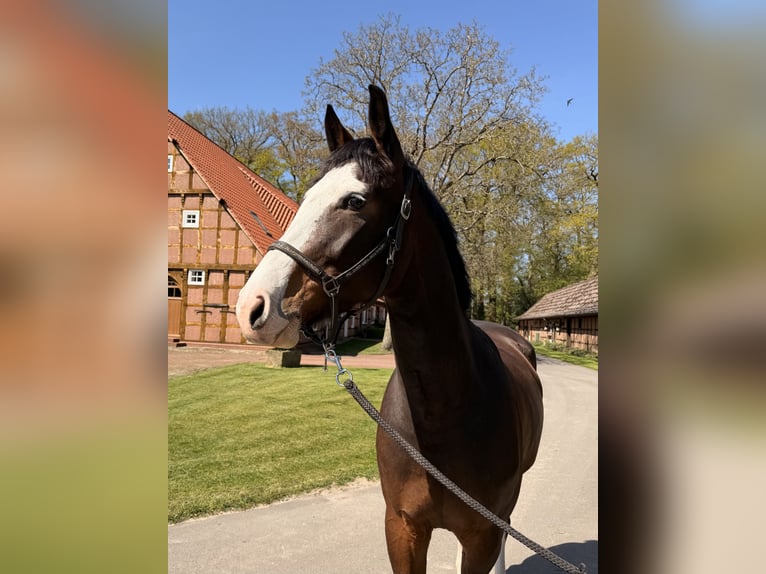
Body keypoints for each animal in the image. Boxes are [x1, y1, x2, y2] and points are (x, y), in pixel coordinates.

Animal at [236, 85, 544, 574]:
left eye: (355, 201)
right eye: (307, 195)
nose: (252, 307)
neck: (444, 412)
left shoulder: (481, 535)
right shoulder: (402, 529)